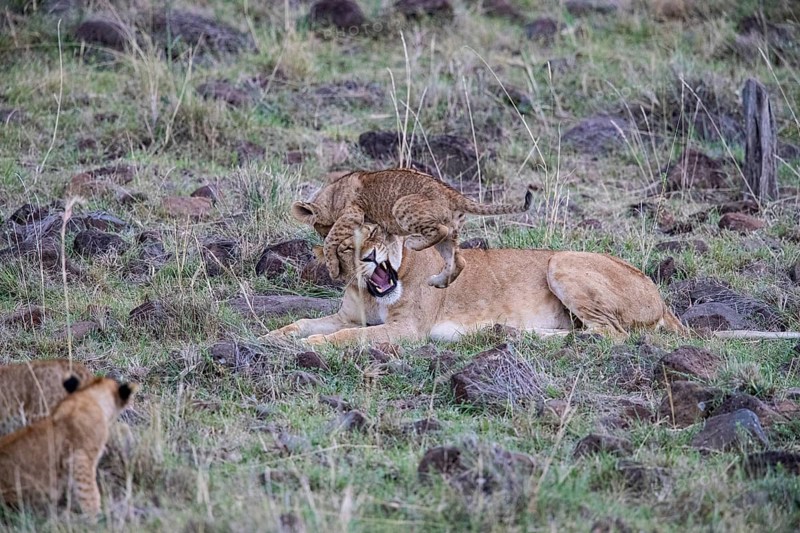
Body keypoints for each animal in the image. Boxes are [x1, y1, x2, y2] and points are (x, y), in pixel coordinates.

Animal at [270, 223, 685, 345]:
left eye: (380, 233)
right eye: (347, 244)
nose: (372, 256)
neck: (371, 294)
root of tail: (660, 297)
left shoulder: (408, 329)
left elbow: (348, 337)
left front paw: (312, 346)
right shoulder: (348, 316)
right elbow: (303, 323)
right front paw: (271, 338)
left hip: (562, 261)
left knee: (609, 334)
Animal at [290, 168, 532, 288]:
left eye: (320, 230)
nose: (319, 234)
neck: (333, 194)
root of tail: (454, 194)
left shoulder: (352, 214)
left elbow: (332, 239)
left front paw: (333, 268)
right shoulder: (384, 229)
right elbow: (391, 250)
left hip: (402, 205)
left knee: (440, 232)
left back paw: (414, 243)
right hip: (451, 232)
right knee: (459, 260)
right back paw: (437, 282)